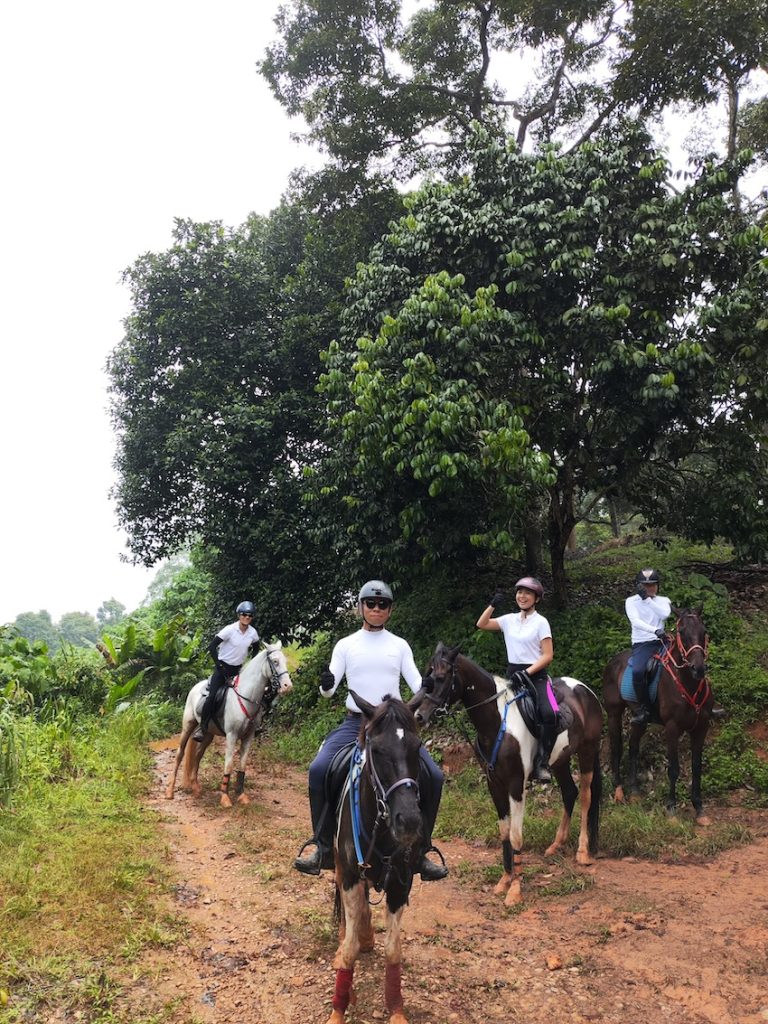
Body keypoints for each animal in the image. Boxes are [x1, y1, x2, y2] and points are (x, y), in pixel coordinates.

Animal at [163, 638, 292, 806]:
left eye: (285, 661)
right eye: (275, 662)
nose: (287, 686)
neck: (246, 696)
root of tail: (196, 686)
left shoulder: (249, 736)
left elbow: (242, 764)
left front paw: (241, 795)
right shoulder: (232, 735)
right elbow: (229, 764)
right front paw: (225, 797)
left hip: (208, 734)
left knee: (198, 755)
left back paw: (195, 787)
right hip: (188, 726)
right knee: (180, 754)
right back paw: (170, 791)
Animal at [327, 688, 428, 1024]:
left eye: (416, 748)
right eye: (378, 750)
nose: (408, 820)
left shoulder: (400, 884)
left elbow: (393, 950)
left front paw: (396, 1009)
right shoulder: (349, 876)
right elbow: (348, 949)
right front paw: (339, 1008)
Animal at [411, 643, 606, 909]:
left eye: (441, 678)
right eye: (425, 676)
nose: (419, 716)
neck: (497, 725)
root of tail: (586, 691)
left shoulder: (515, 785)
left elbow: (515, 836)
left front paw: (515, 891)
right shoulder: (494, 784)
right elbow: (504, 832)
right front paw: (504, 880)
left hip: (587, 752)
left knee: (586, 796)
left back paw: (583, 851)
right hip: (560, 761)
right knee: (569, 792)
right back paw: (556, 845)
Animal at [606, 606, 716, 823]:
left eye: (704, 631)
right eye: (681, 632)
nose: (698, 668)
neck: (688, 685)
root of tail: (613, 662)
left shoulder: (701, 728)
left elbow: (696, 767)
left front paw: (699, 809)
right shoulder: (672, 729)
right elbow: (673, 769)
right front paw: (671, 809)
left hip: (639, 719)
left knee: (633, 747)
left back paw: (635, 791)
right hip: (614, 714)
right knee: (617, 748)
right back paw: (619, 791)